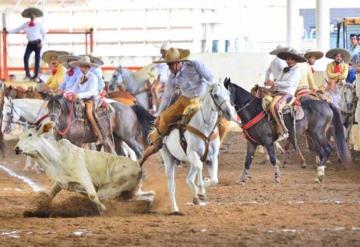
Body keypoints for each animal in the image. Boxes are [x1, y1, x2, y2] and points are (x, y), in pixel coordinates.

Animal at [14, 122, 153, 213]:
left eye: (30, 135)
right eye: (20, 137)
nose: (16, 149)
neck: (57, 157)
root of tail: (137, 164)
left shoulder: (84, 178)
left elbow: (92, 195)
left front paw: (103, 210)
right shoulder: (60, 182)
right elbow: (50, 194)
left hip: (113, 190)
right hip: (131, 192)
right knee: (150, 195)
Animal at [162, 83, 238, 214]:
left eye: (228, 93)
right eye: (216, 95)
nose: (229, 113)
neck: (205, 128)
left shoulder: (212, 158)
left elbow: (215, 180)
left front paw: (203, 187)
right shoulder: (192, 153)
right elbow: (200, 168)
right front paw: (201, 191)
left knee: (189, 178)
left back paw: (195, 197)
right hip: (169, 160)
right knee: (172, 185)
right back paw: (175, 209)